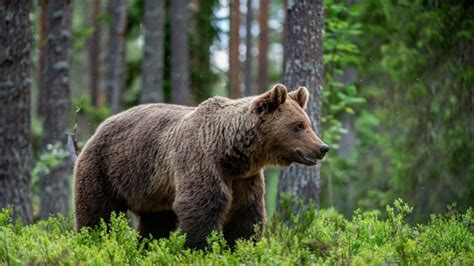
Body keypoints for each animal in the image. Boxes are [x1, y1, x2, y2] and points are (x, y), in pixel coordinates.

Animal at [75, 83, 330, 249]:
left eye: (308, 123)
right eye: (298, 126)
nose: (322, 147)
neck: (231, 152)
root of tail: (100, 126)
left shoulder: (244, 178)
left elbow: (246, 213)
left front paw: (241, 247)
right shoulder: (201, 160)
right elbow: (202, 206)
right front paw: (202, 248)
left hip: (153, 189)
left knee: (156, 222)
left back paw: (147, 247)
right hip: (105, 168)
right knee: (97, 212)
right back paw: (91, 240)